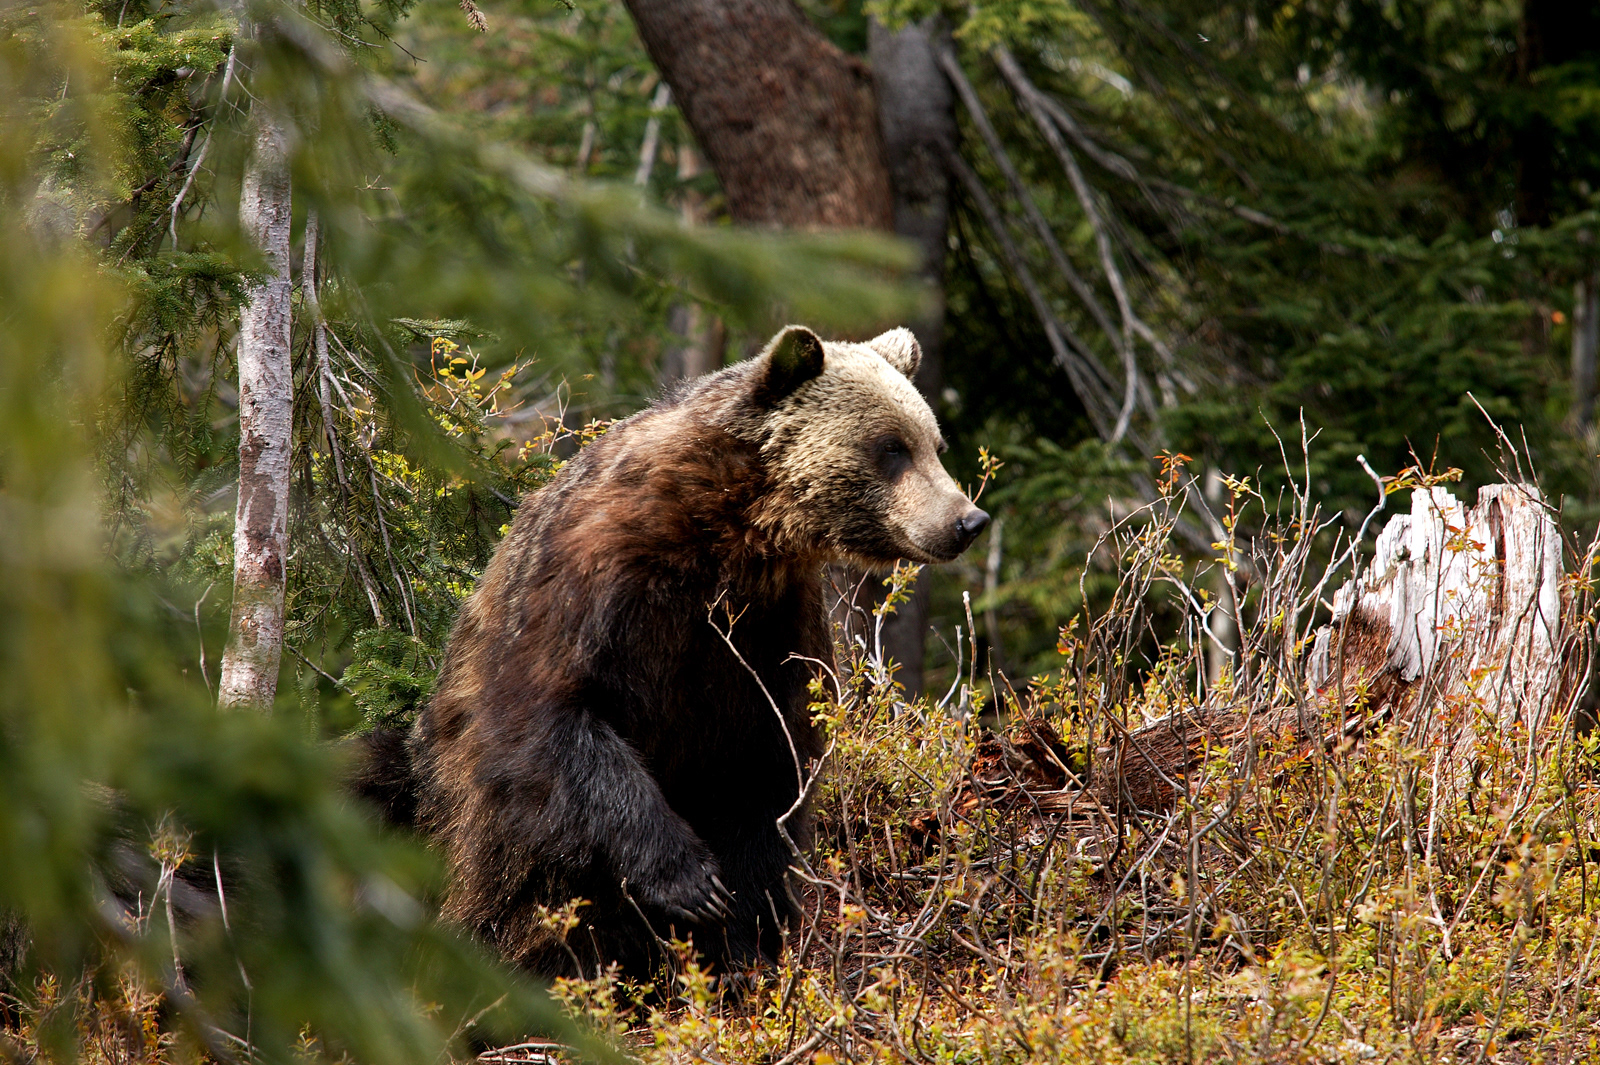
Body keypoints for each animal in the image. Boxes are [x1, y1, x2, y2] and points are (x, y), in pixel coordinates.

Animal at [366, 324, 989, 980]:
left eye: (933, 442)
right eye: (892, 448)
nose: (968, 519)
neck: (732, 532)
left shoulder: (766, 628)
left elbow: (767, 768)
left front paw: (741, 939)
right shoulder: (598, 585)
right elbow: (549, 715)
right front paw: (691, 881)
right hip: (431, 799)